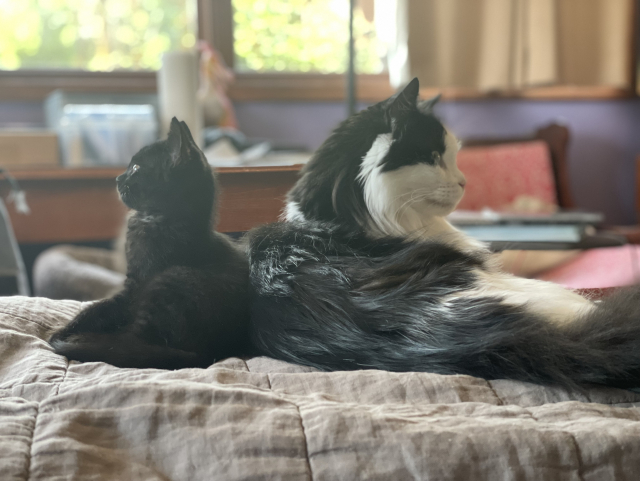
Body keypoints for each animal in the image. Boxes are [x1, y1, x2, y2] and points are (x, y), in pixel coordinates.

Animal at [50, 117, 250, 368]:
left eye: (136, 168)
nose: (117, 178)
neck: (161, 219)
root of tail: (210, 354)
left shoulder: (135, 288)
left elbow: (98, 309)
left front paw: (60, 334)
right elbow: (95, 309)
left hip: (169, 282)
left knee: (132, 343)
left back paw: (87, 342)